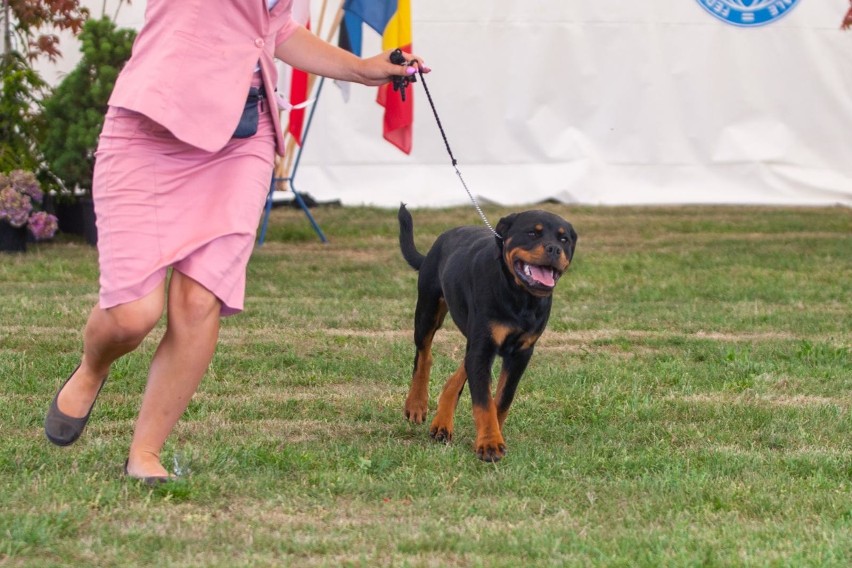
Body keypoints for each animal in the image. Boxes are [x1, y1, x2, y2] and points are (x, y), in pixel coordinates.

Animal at [400, 204, 580, 462]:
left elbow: (502, 399)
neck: (520, 297)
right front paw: (490, 445)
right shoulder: (483, 346)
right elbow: (484, 402)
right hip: (428, 310)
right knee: (424, 355)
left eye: (564, 239)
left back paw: (442, 424)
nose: (554, 248)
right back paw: (416, 404)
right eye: (532, 233)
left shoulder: (520, 352)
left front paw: (494, 435)